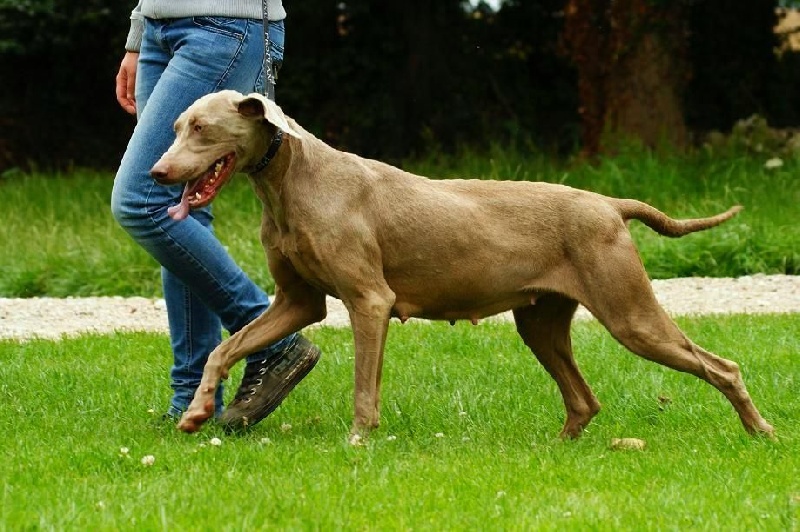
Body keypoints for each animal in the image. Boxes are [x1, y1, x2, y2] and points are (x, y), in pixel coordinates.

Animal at [150, 90, 774, 443]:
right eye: (175, 126)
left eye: (201, 128)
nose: (155, 173)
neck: (291, 182)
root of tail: (609, 204)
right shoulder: (297, 302)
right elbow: (225, 348)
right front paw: (198, 412)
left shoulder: (369, 301)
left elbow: (363, 388)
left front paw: (358, 442)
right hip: (541, 323)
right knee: (584, 399)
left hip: (630, 315)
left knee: (723, 367)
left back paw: (760, 431)